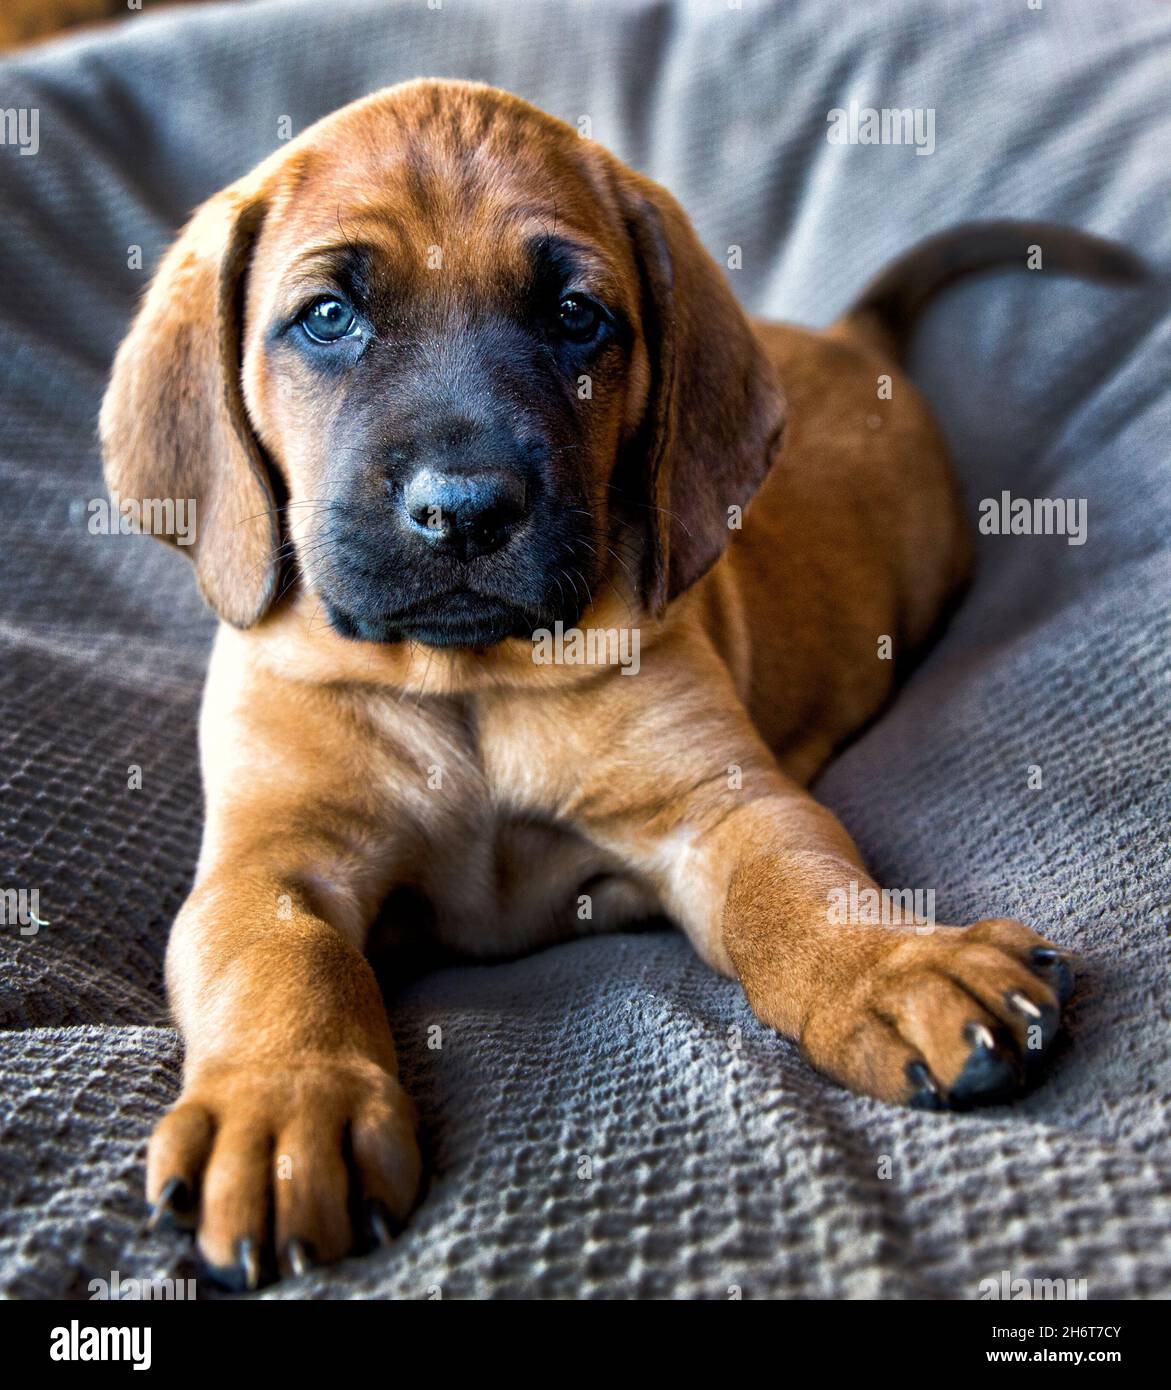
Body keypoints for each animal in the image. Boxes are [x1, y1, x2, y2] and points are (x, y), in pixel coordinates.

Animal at [95, 81, 1134, 1284]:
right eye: (326, 318)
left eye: (575, 315)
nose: (465, 509)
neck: (470, 685)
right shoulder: (268, 860)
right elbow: (278, 962)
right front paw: (282, 1102)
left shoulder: (720, 805)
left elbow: (801, 889)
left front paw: (893, 965)